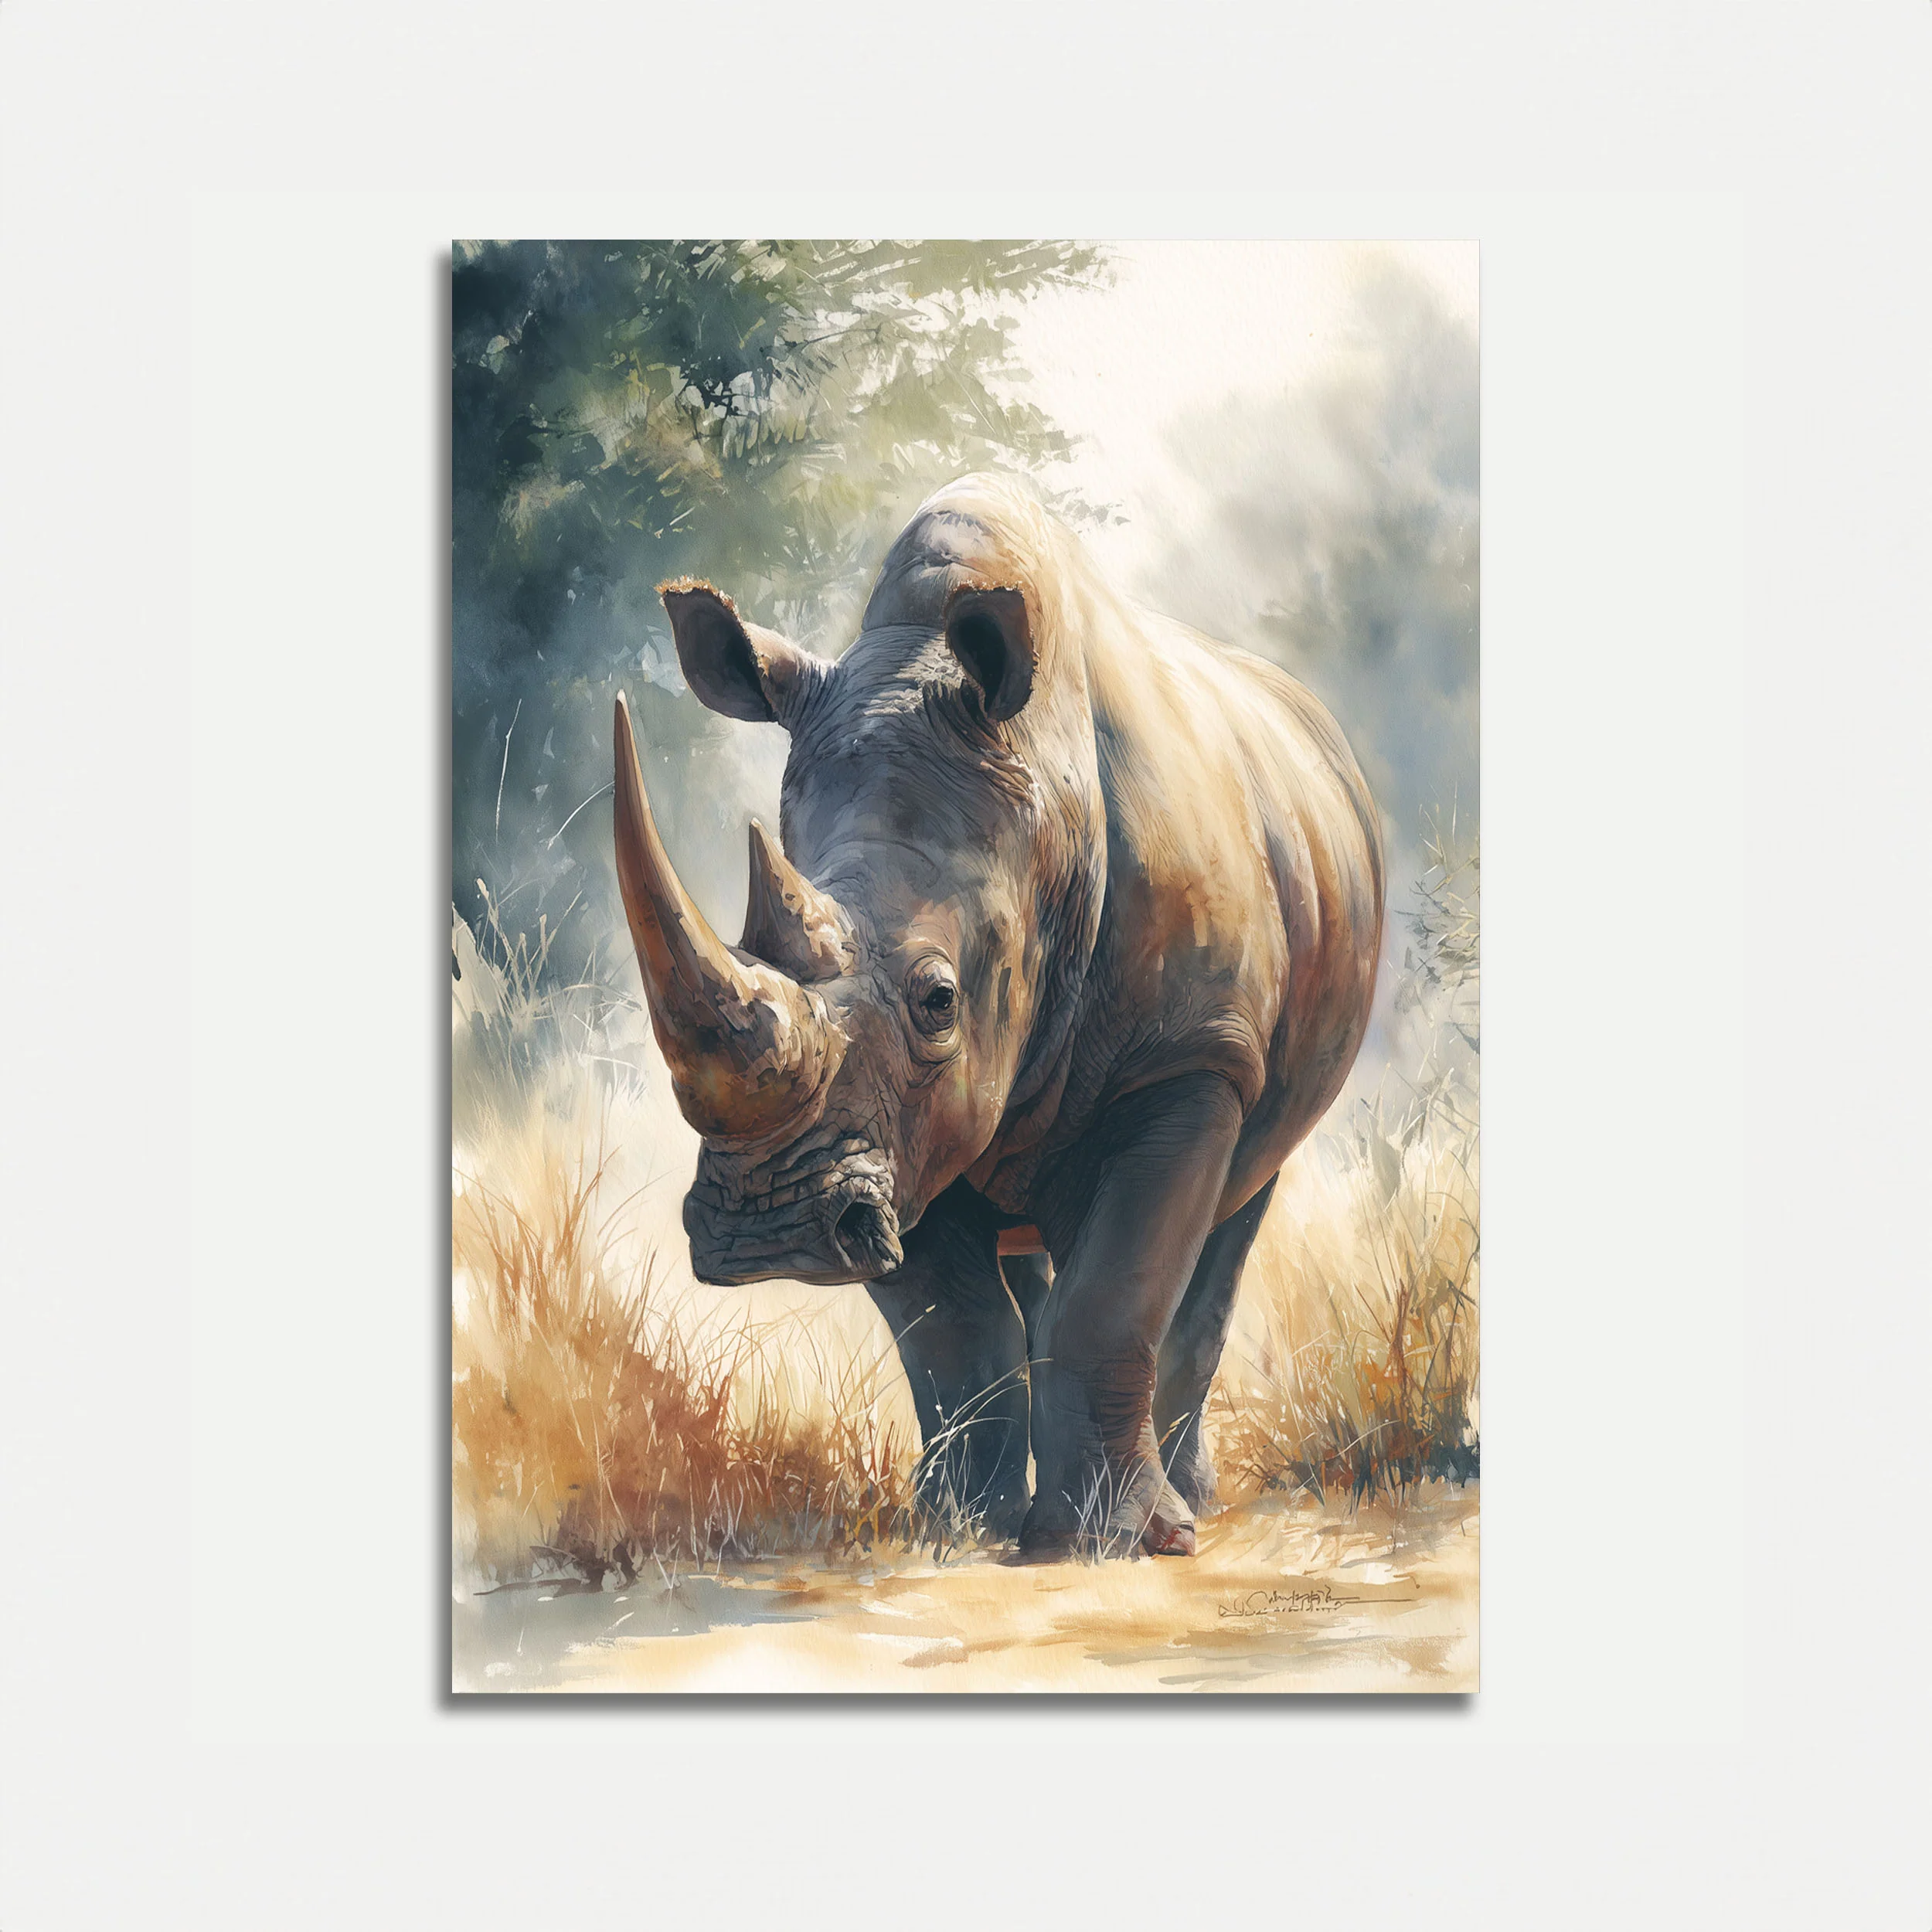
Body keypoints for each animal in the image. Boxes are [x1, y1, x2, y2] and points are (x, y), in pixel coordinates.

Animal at [611, 474, 1383, 1558]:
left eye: (939, 1000)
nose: (768, 1230)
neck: (1045, 810)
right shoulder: (894, 1131)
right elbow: (954, 1331)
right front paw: (957, 1528)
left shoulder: (1189, 1057)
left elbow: (1116, 1296)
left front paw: (1116, 1543)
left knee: (1239, 1206)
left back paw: (1192, 1503)